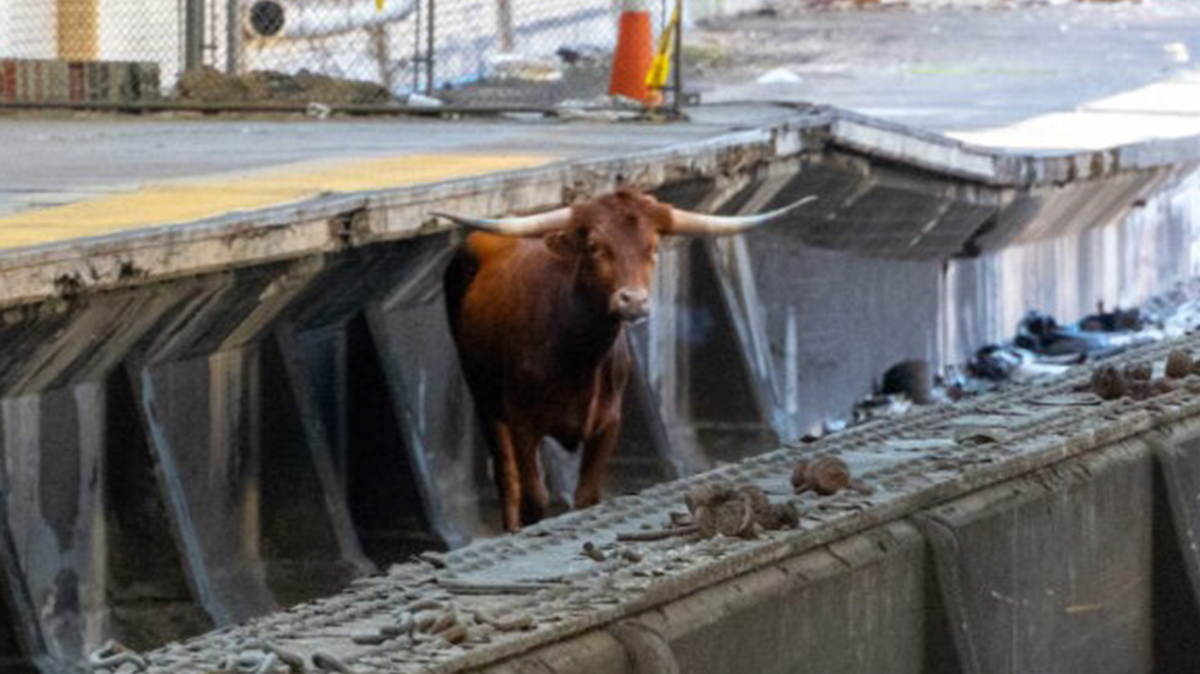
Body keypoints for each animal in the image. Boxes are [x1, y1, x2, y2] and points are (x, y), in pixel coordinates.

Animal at [436, 189, 811, 530]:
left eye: (653, 248)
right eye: (595, 247)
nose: (633, 301)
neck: (573, 357)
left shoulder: (608, 422)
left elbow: (587, 496)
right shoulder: (522, 421)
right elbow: (533, 499)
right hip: (485, 401)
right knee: (506, 478)